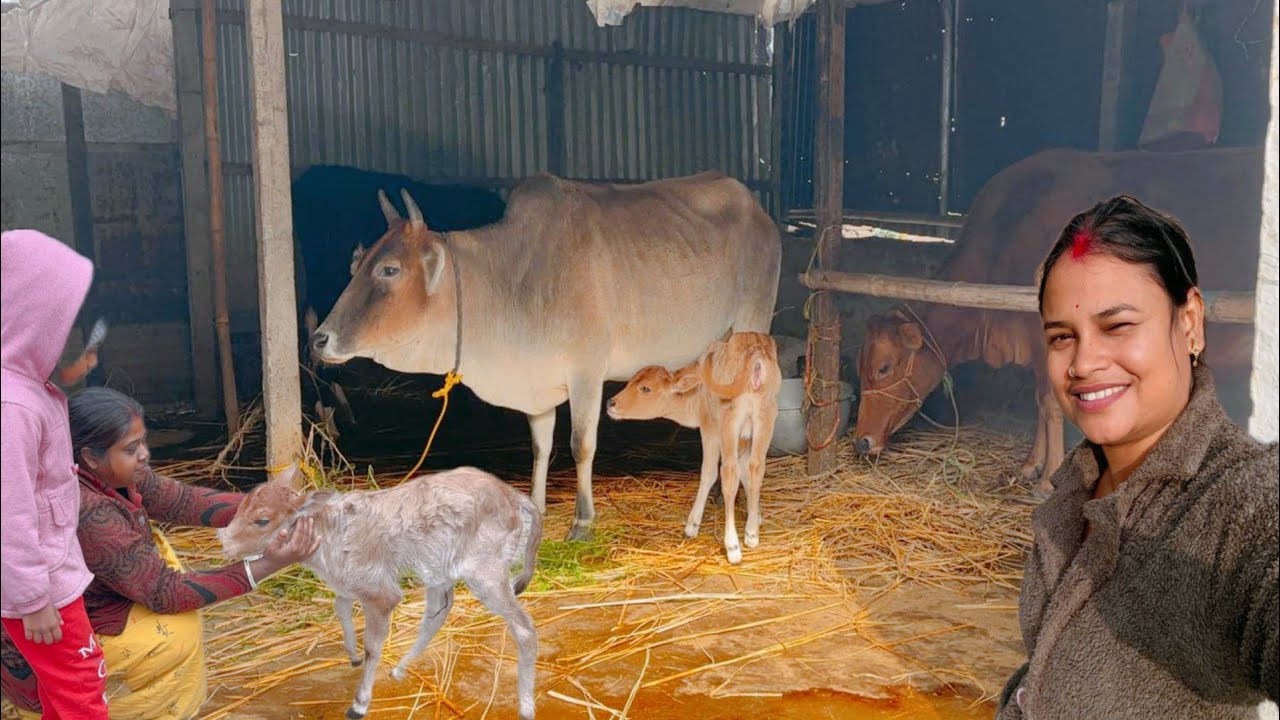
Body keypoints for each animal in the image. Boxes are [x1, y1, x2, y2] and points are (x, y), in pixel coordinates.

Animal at [217, 465, 543, 720]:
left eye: (262, 520)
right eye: (241, 506)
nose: (224, 541)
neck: (330, 539)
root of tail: (516, 498)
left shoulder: (379, 593)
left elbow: (372, 645)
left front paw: (359, 704)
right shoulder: (349, 585)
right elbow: (340, 607)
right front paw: (351, 656)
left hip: (486, 571)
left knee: (524, 628)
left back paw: (526, 708)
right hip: (440, 570)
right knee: (437, 613)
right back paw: (400, 669)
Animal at [309, 171, 782, 540]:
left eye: (389, 269)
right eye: (354, 265)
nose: (318, 340)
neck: (509, 282)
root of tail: (758, 211)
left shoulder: (587, 372)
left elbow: (581, 444)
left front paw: (582, 522)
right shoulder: (536, 383)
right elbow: (540, 446)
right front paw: (535, 507)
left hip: (750, 326)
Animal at [607, 332, 782, 564]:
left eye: (646, 388)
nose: (610, 403)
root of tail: (755, 354)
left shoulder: (710, 427)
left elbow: (709, 472)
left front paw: (692, 524)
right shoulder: (746, 436)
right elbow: (747, 472)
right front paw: (756, 518)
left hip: (729, 418)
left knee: (728, 472)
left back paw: (732, 546)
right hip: (766, 415)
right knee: (756, 466)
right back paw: (752, 534)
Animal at [853, 146, 1262, 495]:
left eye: (885, 367)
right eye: (858, 367)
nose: (860, 441)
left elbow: (1049, 403)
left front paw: (1048, 478)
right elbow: (1040, 405)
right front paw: (1030, 466)